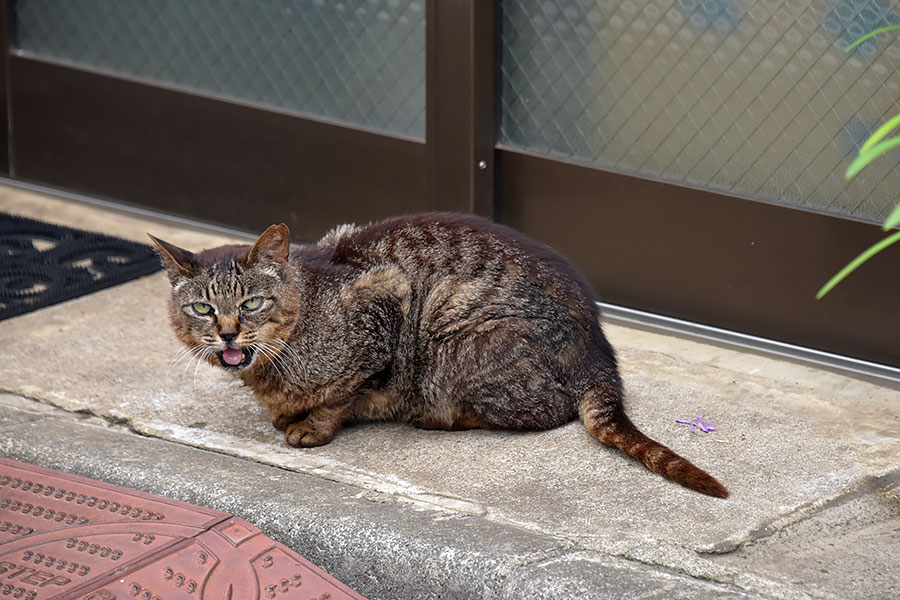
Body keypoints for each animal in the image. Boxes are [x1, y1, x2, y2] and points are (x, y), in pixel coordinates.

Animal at [151, 212, 728, 496]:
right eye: (202, 308)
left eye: (252, 303)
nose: (228, 334)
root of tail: (599, 349)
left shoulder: (384, 304)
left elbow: (344, 394)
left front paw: (312, 424)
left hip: (453, 334)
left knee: (548, 410)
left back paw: (438, 417)